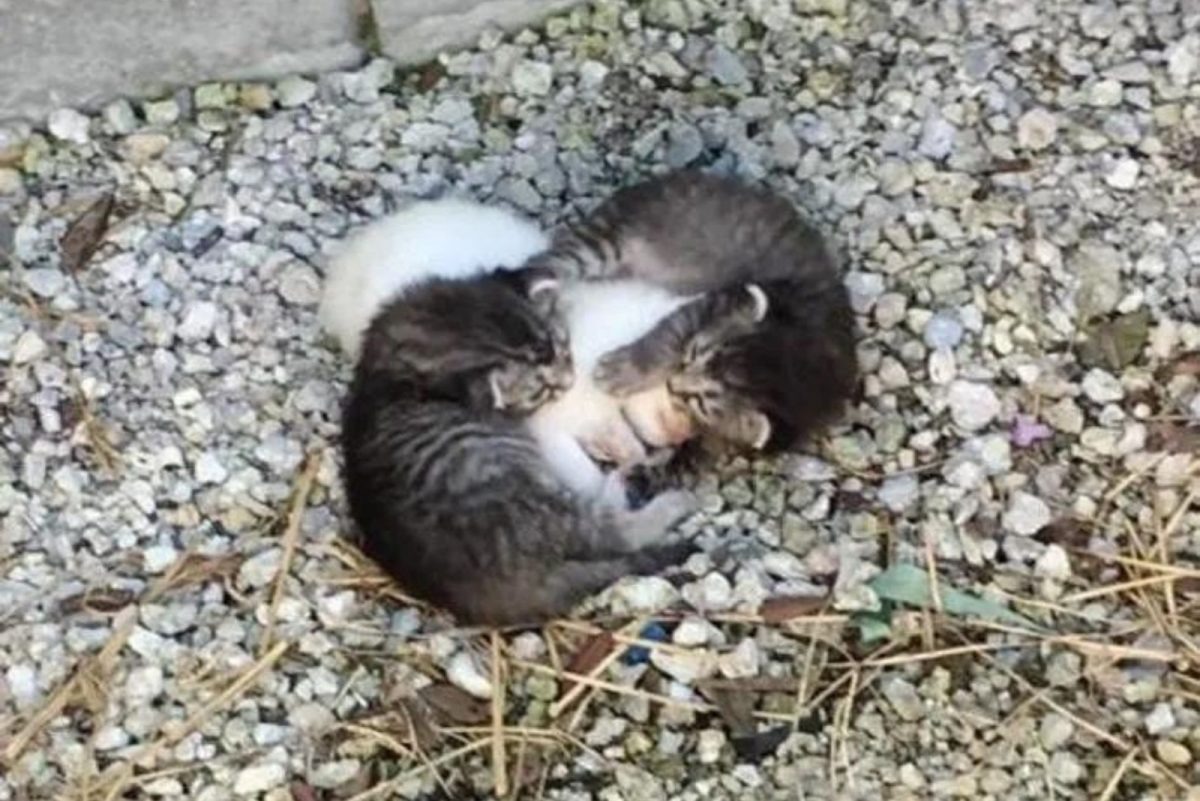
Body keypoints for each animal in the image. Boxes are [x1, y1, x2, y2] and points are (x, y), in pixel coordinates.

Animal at [530, 167, 859, 455]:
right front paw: (624, 369)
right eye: (691, 356)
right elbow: (667, 337)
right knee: (544, 263)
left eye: (696, 400)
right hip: (607, 242)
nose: (673, 384)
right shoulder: (724, 299)